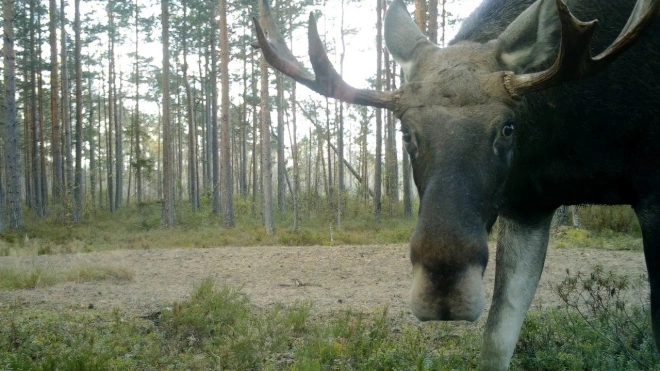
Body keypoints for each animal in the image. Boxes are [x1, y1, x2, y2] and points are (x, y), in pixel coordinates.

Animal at [254, 0, 660, 370]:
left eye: (508, 127)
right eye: (405, 133)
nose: (444, 291)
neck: (572, 137)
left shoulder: (652, 194)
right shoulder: (527, 206)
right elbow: (497, 339)